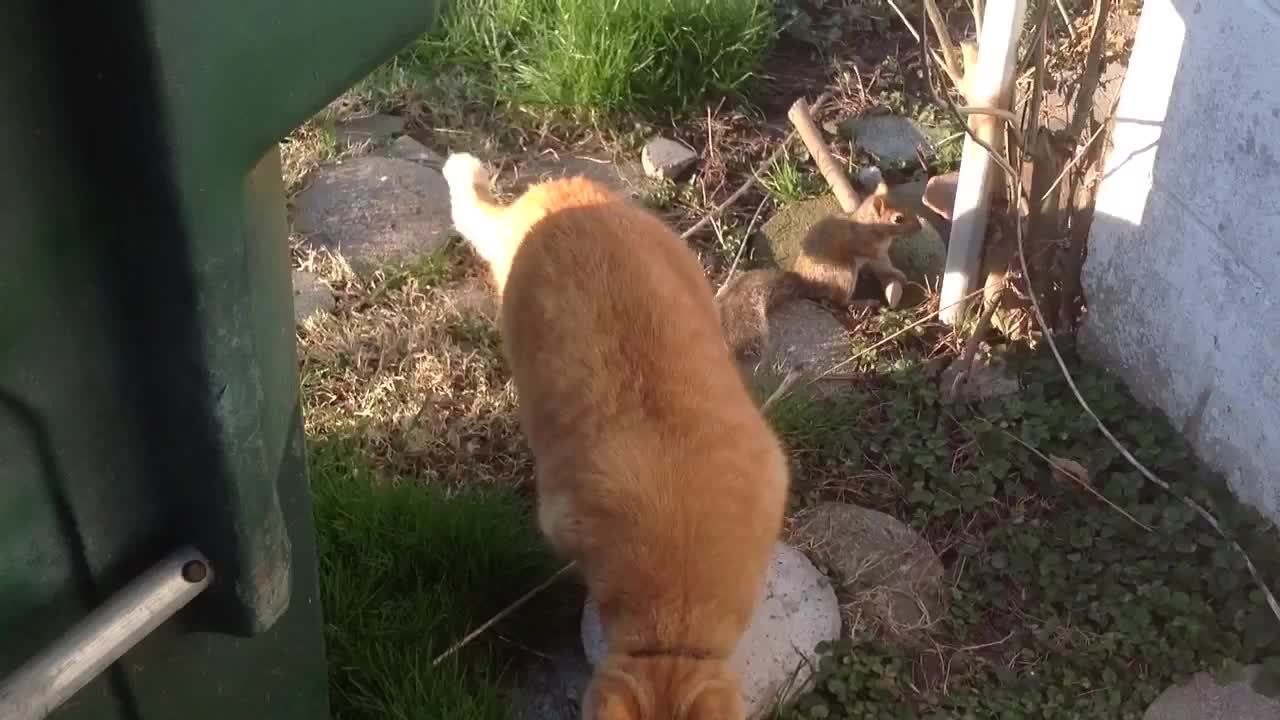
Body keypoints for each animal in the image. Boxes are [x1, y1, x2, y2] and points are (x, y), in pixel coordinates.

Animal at [721, 181, 921, 363]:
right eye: (898, 219)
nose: (920, 226)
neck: (870, 225)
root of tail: (808, 283)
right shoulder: (871, 251)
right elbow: (884, 266)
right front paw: (899, 275)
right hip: (845, 273)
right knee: (840, 301)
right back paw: (864, 302)